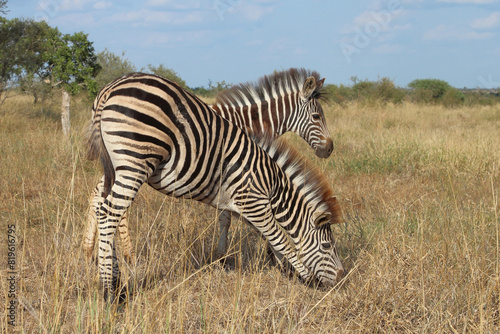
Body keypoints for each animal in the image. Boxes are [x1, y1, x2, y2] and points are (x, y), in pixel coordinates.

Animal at [86, 72, 344, 300]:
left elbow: (249, 226)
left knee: (99, 201)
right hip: (135, 162)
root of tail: (110, 88)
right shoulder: (244, 193)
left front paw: (276, 263)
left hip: (116, 165)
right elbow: (261, 231)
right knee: (110, 211)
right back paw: (111, 287)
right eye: (317, 117)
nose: (329, 149)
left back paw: (98, 259)